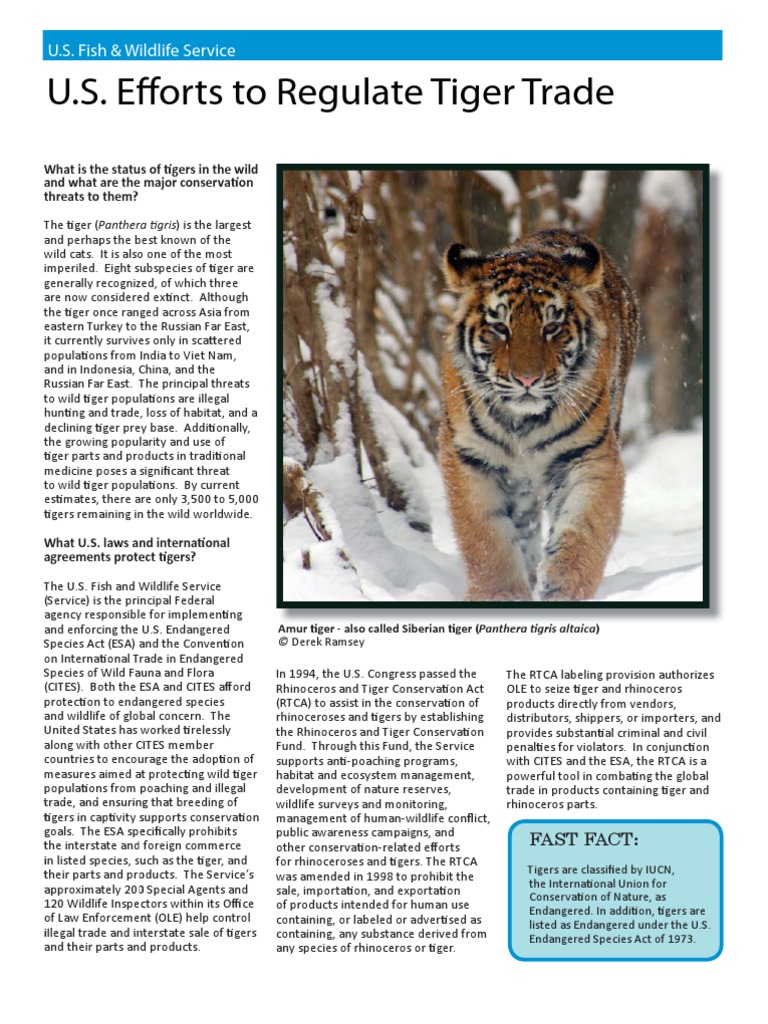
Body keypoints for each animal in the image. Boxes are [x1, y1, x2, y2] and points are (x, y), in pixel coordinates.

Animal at [439, 228, 639, 602]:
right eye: (500, 327)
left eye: (552, 327)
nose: (527, 380)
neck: (523, 423)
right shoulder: (471, 459)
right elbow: (486, 540)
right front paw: (501, 595)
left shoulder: (588, 455)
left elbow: (584, 528)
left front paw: (563, 587)